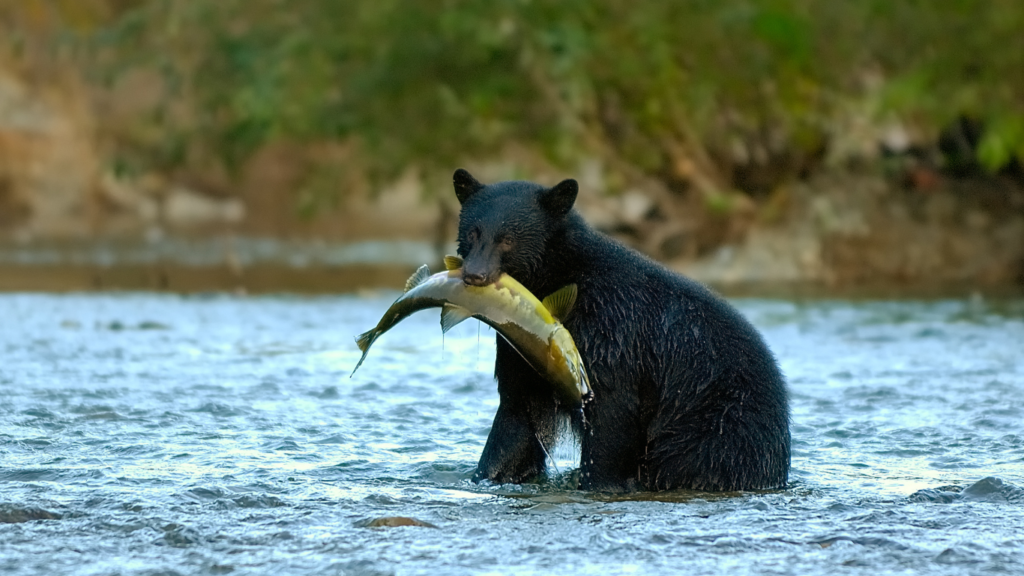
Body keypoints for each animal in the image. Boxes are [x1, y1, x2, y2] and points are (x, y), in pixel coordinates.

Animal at [456, 167, 790, 487]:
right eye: (472, 233)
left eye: (507, 239)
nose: (475, 274)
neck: (559, 281)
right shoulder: (522, 344)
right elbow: (517, 418)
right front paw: (489, 475)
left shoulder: (612, 332)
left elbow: (611, 414)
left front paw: (599, 482)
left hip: (717, 426)